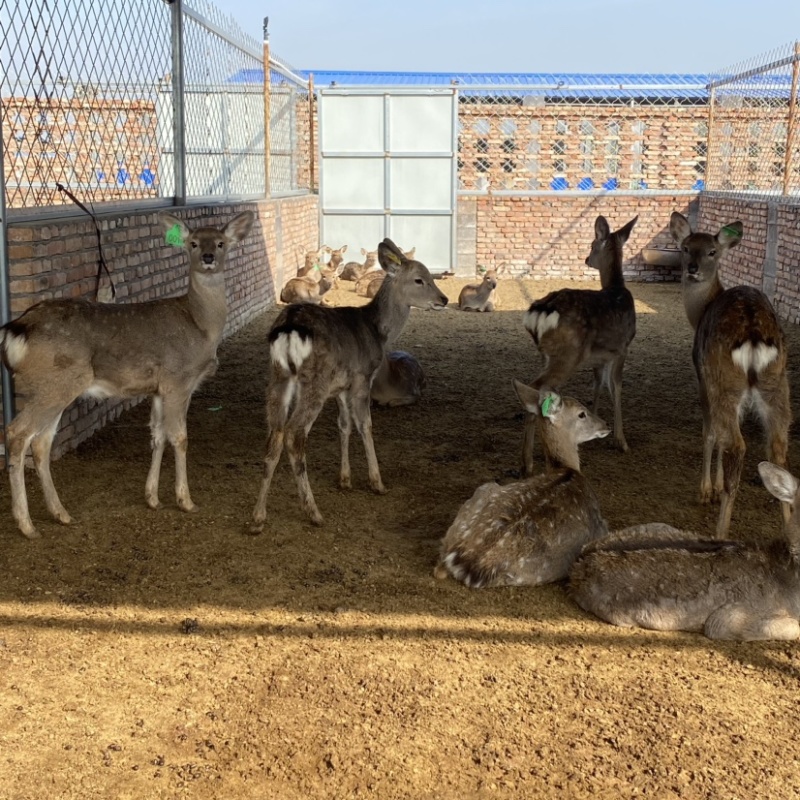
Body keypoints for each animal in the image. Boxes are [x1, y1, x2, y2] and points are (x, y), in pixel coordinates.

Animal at [0, 210, 254, 539]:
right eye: (194, 243)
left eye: (221, 242)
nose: (209, 257)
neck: (201, 327)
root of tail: (17, 329)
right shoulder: (178, 379)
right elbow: (180, 437)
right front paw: (185, 500)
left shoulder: (157, 388)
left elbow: (158, 435)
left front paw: (152, 498)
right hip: (56, 383)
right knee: (17, 433)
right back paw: (26, 524)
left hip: (53, 388)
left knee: (41, 442)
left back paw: (61, 514)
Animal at [250, 239, 448, 534]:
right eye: (419, 279)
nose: (443, 299)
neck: (378, 332)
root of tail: (289, 327)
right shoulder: (362, 378)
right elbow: (365, 424)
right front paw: (377, 482)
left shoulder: (341, 387)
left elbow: (344, 425)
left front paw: (345, 479)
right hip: (314, 382)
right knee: (294, 434)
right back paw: (314, 512)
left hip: (277, 377)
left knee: (275, 433)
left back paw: (258, 517)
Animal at [433, 382, 610, 588]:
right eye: (582, 413)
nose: (606, 424)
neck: (568, 469)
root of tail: (463, 560)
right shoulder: (600, 525)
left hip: (482, 492)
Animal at [520, 215, 637, 476]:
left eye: (591, 246)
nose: (586, 259)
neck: (617, 289)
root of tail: (539, 312)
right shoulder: (623, 347)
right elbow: (617, 387)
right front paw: (621, 441)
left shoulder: (599, 357)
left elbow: (599, 384)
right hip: (568, 355)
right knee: (534, 389)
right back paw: (527, 463)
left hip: (548, 355)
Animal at [669, 212, 791, 537]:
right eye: (686, 248)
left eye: (712, 251)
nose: (693, 269)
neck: (699, 312)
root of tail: (753, 335)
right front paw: (715, 485)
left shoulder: (702, 377)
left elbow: (711, 433)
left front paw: (706, 490)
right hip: (777, 384)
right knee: (777, 447)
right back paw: (790, 535)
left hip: (724, 379)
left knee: (737, 445)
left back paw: (720, 533)